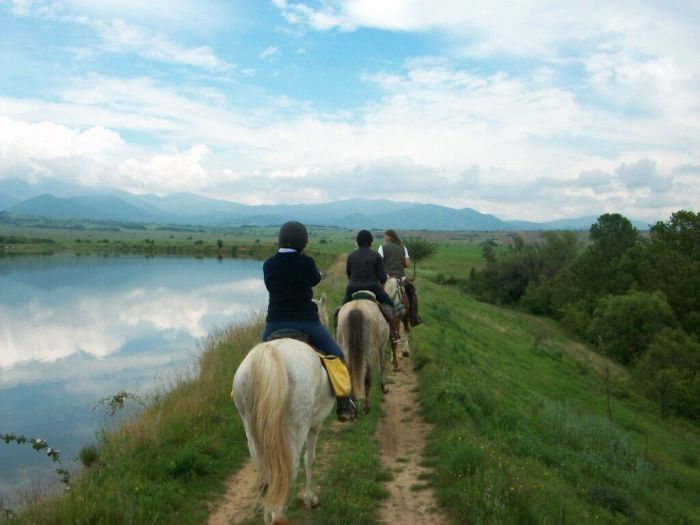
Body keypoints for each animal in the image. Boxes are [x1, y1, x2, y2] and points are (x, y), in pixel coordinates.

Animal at [231, 296, 334, 520]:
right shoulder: (315, 426)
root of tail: (270, 354)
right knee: (287, 473)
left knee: (266, 478)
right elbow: (310, 460)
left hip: (252, 432)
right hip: (296, 428)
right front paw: (310, 499)